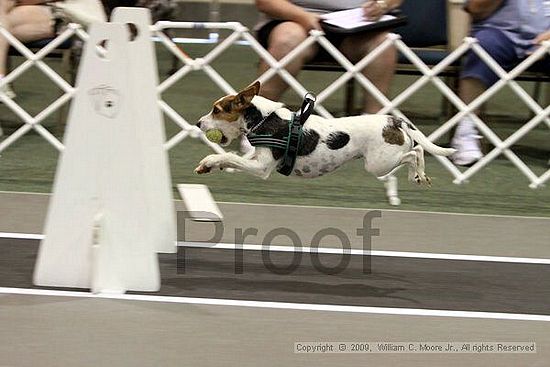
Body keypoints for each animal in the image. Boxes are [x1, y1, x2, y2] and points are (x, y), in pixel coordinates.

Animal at [196, 81, 454, 183]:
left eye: (216, 110)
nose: (198, 124)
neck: (264, 118)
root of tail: (395, 121)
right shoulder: (256, 158)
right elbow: (233, 157)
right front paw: (210, 165)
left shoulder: (262, 167)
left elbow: (228, 157)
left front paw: (210, 160)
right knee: (417, 152)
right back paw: (417, 176)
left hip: (379, 163)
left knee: (414, 153)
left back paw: (418, 173)